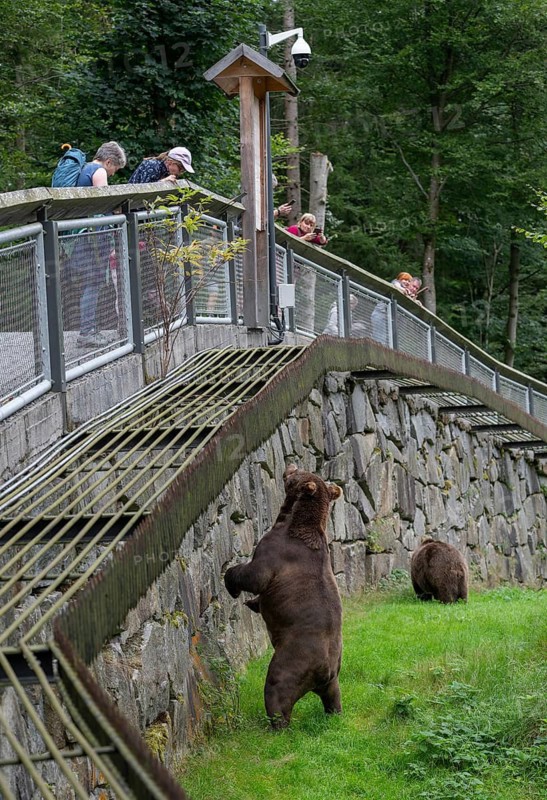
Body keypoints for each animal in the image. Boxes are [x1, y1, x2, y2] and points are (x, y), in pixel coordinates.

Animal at [224, 464, 343, 729]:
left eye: (297, 473)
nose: (290, 466)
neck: (293, 521)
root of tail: (323, 670)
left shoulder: (276, 552)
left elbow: (255, 575)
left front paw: (231, 582)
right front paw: (252, 603)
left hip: (291, 662)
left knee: (277, 690)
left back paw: (277, 724)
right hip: (334, 673)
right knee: (334, 694)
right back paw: (334, 713)